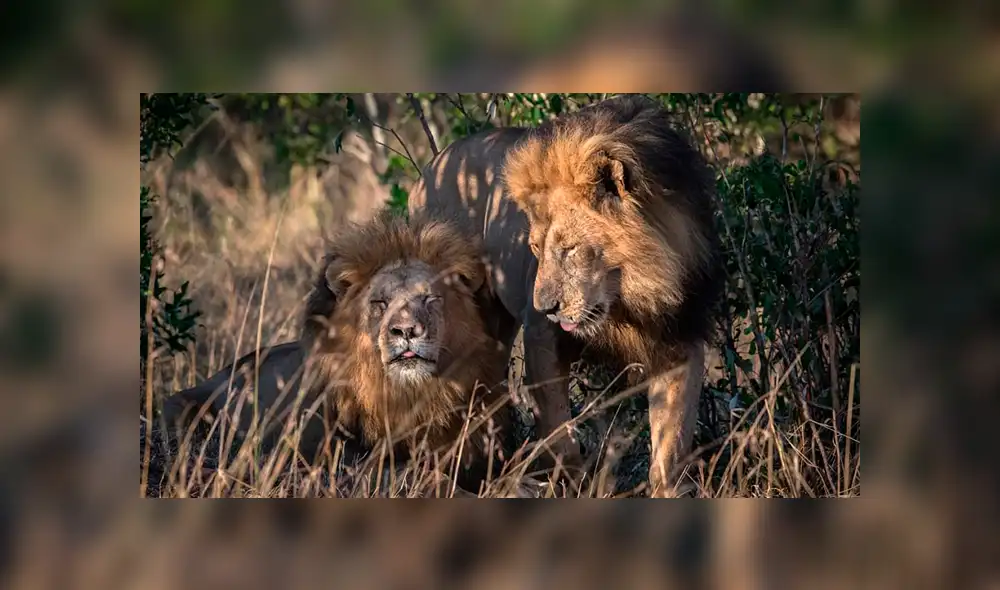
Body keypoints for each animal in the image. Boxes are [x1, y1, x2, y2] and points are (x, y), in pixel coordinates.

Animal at [162, 211, 514, 495]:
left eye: (430, 298)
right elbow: (415, 475)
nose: (406, 331)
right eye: (380, 303)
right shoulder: (343, 462)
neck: (405, 396)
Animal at [409, 95, 723, 497]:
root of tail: (431, 167)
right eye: (534, 248)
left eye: (570, 248)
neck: (631, 299)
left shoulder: (681, 340)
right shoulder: (543, 339)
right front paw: (568, 485)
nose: (546, 307)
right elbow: (559, 436)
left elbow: (672, 444)